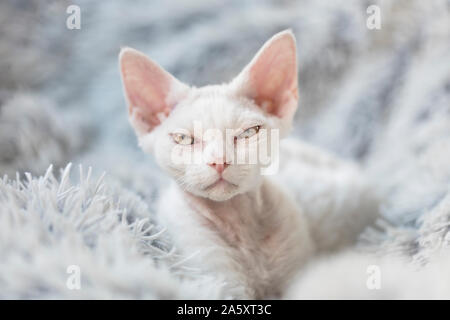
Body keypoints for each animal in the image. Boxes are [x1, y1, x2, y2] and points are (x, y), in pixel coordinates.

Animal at [118, 30, 376, 300]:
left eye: (248, 133)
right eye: (184, 139)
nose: (219, 161)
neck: (239, 224)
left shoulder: (295, 268)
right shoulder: (213, 276)